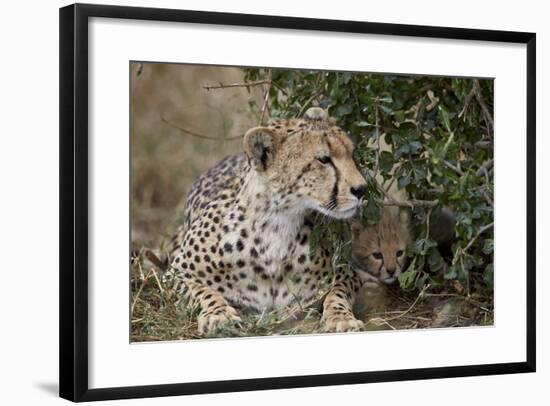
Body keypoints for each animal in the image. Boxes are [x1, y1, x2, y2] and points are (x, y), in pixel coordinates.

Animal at [165, 107, 370, 334]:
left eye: (351, 153)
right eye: (324, 159)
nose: (362, 189)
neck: (277, 224)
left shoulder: (347, 272)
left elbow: (337, 292)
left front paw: (341, 318)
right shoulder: (176, 274)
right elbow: (203, 291)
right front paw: (218, 315)